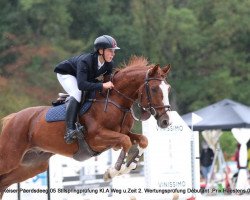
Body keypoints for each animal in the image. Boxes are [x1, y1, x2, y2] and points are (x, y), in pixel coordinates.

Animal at [0, 56, 171, 198]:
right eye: (154, 89)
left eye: (168, 88)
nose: (165, 121)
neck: (116, 100)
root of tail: (11, 118)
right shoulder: (97, 137)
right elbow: (125, 142)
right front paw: (113, 171)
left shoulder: (123, 133)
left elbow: (142, 141)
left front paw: (129, 166)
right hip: (10, 158)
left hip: (32, 165)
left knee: (4, 182)